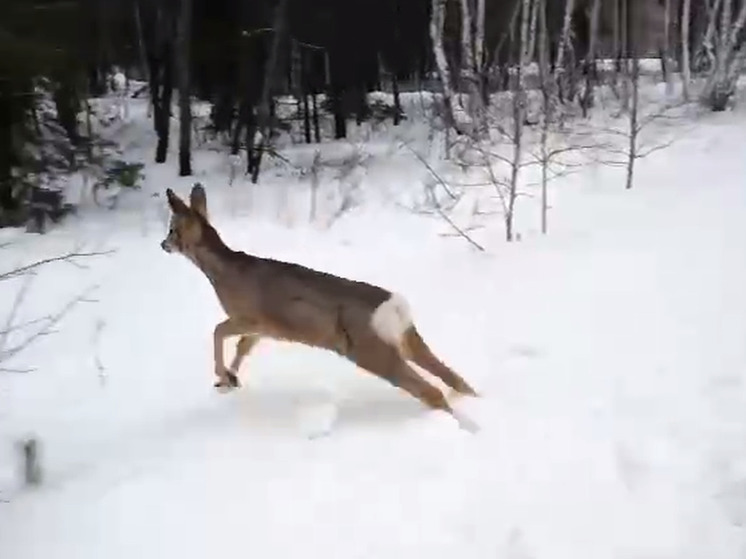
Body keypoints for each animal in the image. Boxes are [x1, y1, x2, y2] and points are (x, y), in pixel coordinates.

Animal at [160, 186, 480, 430]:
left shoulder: (250, 316)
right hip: (406, 340)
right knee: (456, 379)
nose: (164, 244)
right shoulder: (263, 330)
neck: (221, 272)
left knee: (432, 391)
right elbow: (242, 347)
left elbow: (218, 331)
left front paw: (223, 376)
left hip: (369, 350)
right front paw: (228, 380)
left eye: (173, 229)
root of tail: (392, 307)